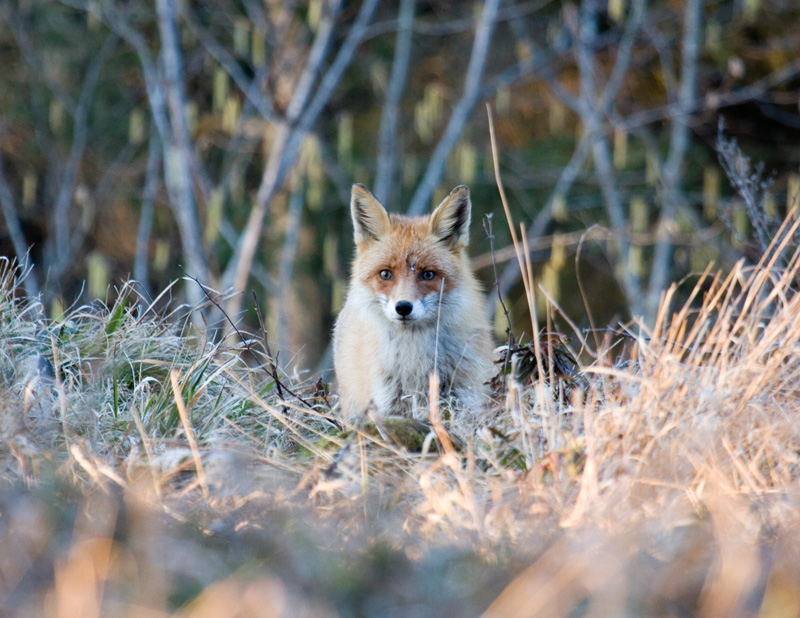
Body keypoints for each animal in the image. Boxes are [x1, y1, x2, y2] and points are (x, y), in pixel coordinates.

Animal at [332, 183, 494, 422]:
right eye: (385, 274)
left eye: (428, 275)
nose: (403, 307)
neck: (414, 360)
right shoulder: (386, 407)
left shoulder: (465, 396)